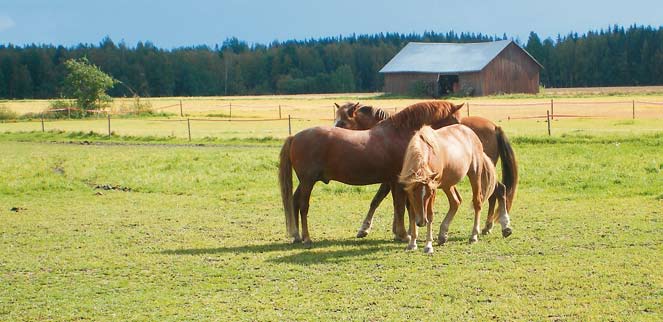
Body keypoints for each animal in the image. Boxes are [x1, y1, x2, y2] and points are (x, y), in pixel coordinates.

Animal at [278, 102, 462, 245]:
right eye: (455, 120)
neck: (400, 134)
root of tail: (294, 137)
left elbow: (401, 206)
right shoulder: (397, 181)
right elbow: (400, 206)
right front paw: (403, 234)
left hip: (304, 182)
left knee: (294, 201)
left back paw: (296, 235)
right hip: (308, 181)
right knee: (303, 205)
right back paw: (307, 238)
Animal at [332, 102, 520, 236]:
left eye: (342, 122)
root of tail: (494, 127)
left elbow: (385, 200)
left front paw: (369, 228)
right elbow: (389, 201)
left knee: (498, 190)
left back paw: (502, 225)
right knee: (495, 192)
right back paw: (489, 226)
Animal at [400, 124, 512, 253]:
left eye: (429, 194)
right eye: (414, 194)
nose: (422, 222)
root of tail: (471, 133)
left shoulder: (433, 190)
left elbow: (430, 215)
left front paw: (428, 245)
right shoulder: (410, 191)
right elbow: (412, 214)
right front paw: (412, 243)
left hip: (475, 174)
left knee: (478, 202)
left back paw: (475, 235)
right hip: (448, 184)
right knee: (455, 202)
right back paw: (443, 235)